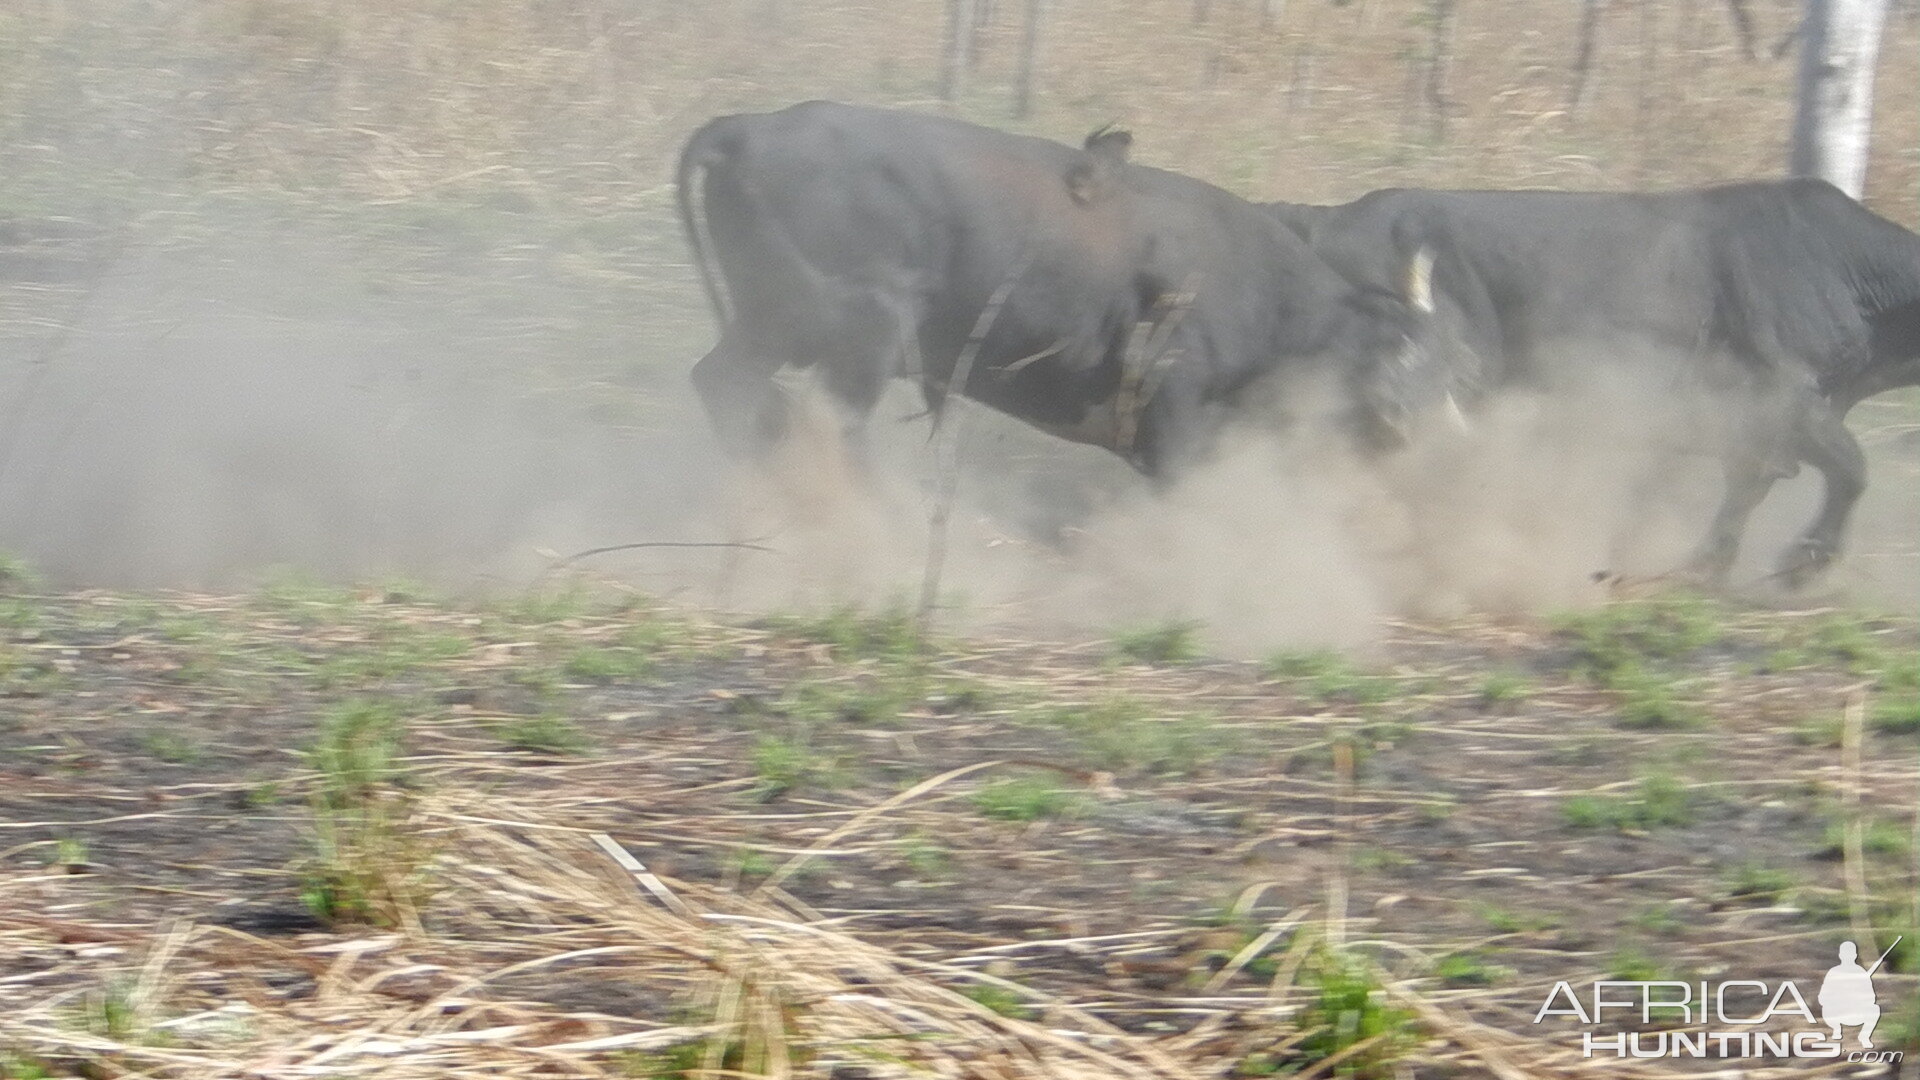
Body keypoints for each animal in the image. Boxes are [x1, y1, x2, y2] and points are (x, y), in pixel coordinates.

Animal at [679, 101, 1443, 478]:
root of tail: (747, 129)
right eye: (1393, 355)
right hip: (860, 336)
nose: (1409, 432)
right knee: (828, 424)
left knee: (726, 384)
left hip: (769, 327)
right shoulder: (1174, 413)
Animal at [1267, 184, 1920, 588]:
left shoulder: (1765, 433)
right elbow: (1852, 469)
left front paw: (1705, 567)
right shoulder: (1789, 402)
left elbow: (1747, 492)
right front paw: (1804, 563)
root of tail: (1322, 217)